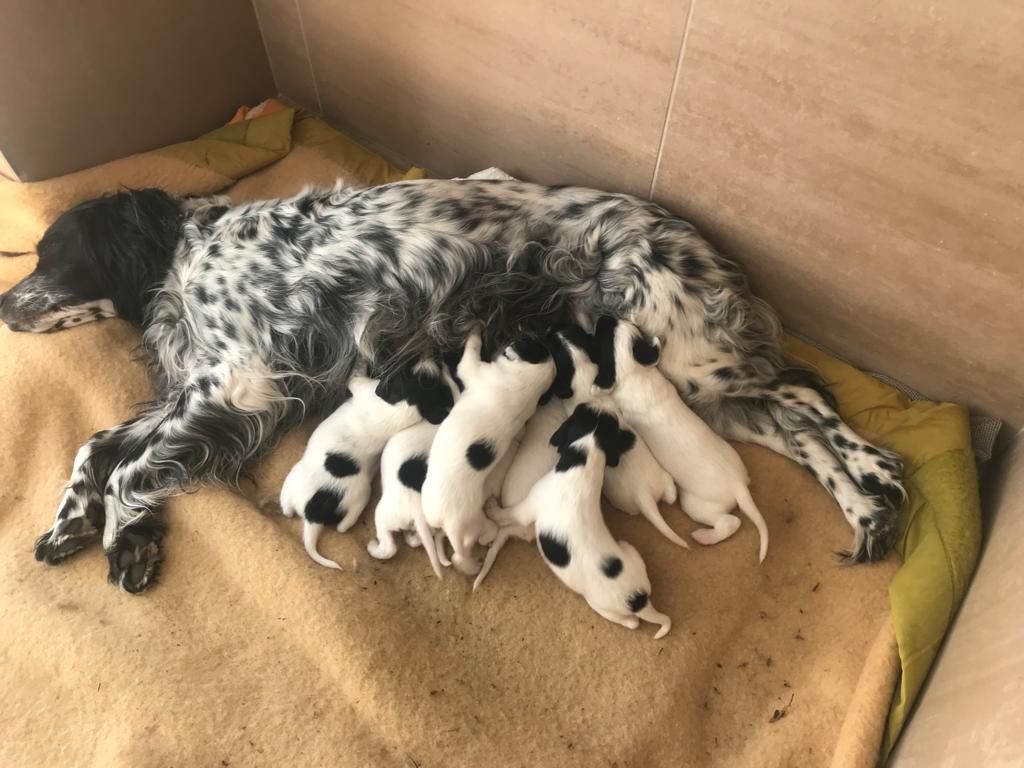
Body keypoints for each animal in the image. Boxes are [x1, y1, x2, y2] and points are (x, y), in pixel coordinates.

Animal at [280, 360, 456, 573]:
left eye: (406, 371)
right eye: (412, 373)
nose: (432, 360)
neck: (408, 404)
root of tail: (313, 514)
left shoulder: (362, 385)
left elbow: (356, 374)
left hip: (330, 489)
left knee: (342, 527)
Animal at [421, 325, 557, 577]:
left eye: (522, 336)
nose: (518, 327)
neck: (526, 382)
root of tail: (453, 525)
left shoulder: (473, 369)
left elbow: (470, 351)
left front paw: (474, 330)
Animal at [598, 315, 770, 561]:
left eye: (603, 332)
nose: (604, 316)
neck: (639, 374)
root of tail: (738, 485)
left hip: (696, 504)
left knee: (731, 522)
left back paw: (705, 536)